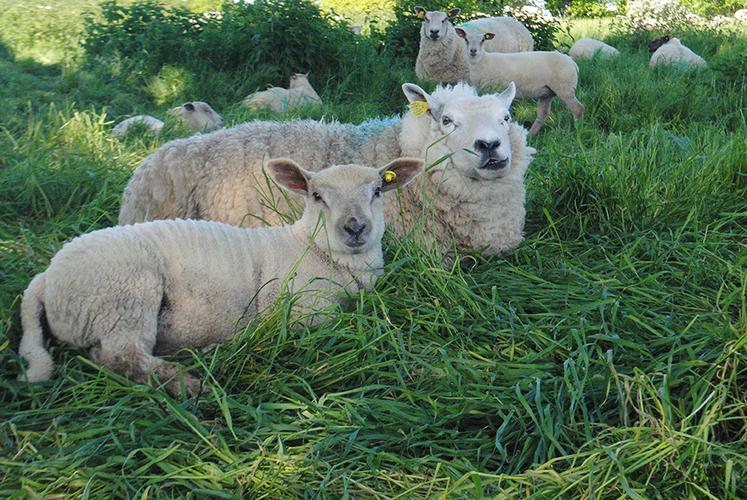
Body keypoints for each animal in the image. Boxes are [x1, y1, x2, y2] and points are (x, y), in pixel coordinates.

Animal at [17, 156, 424, 394]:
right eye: (316, 196)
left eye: (378, 190)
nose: (355, 228)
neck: (317, 251)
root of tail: (45, 277)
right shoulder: (306, 313)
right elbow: (342, 324)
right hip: (126, 296)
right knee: (120, 357)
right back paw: (189, 382)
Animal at [456, 30, 584, 138]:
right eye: (466, 39)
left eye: (482, 40)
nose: (473, 51)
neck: (482, 61)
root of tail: (573, 63)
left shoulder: (492, 88)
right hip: (547, 92)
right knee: (543, 114)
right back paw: (530, 135)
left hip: (565, 88)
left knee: (578, 109)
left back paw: (577, 131)